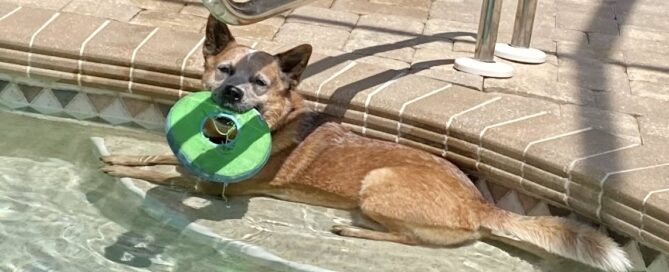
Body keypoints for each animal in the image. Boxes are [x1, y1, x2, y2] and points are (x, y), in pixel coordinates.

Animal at [103, 15, 632, 272]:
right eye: (224, 70)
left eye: (260, 82)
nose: (231, 94)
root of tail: (481, 205)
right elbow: (160, 155)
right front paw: (124, 154)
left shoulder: (216, 189)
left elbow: (164, 174)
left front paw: (121, 169)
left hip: (377, 184)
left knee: (410, 239)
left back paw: (354, 230)